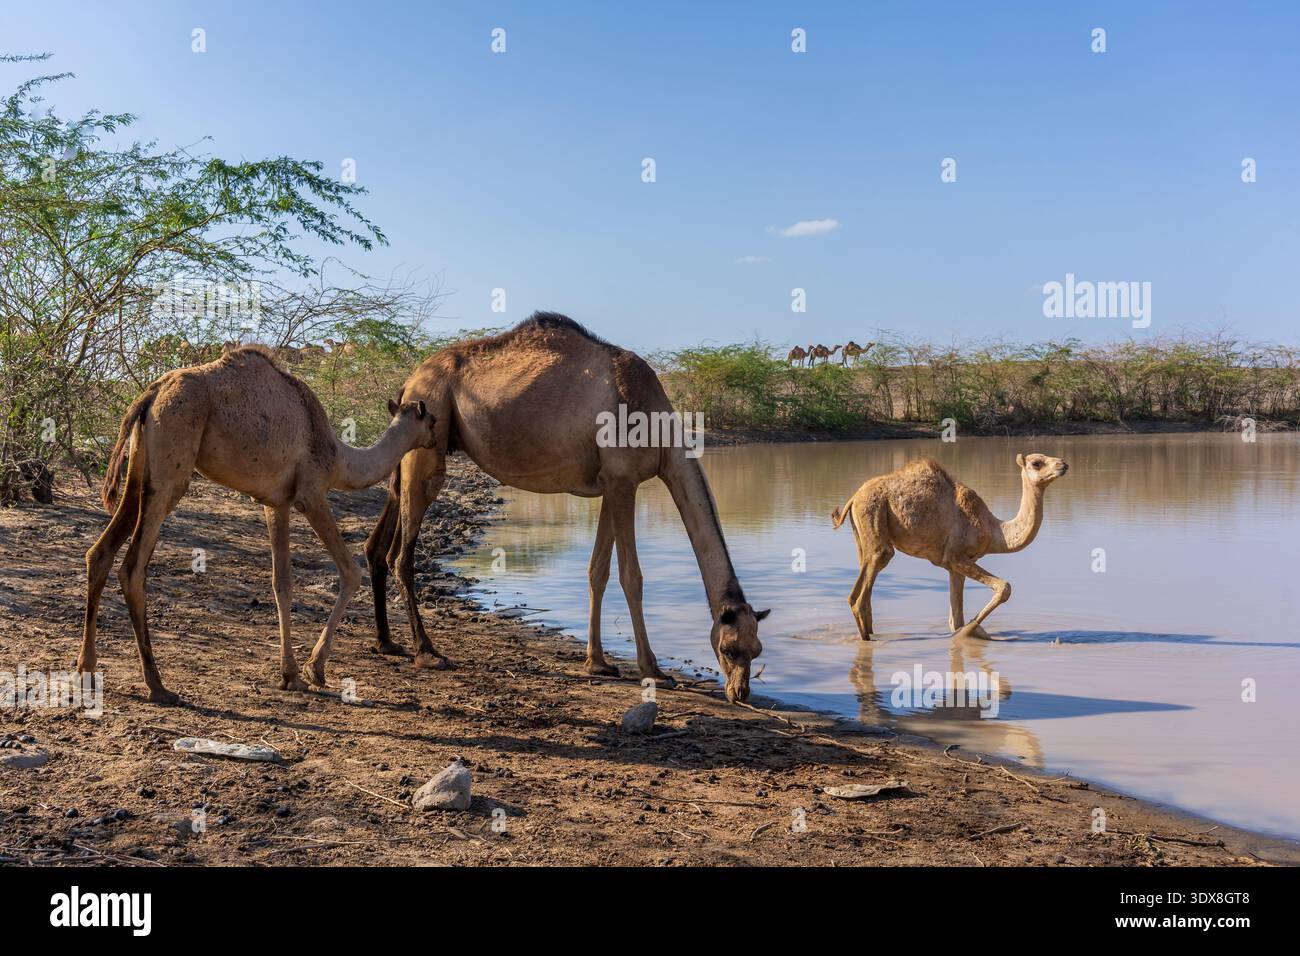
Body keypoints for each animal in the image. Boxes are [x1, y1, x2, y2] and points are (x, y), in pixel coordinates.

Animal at [78, 346, 438, 704]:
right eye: (431, 419)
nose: (437, 440)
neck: (340, 459)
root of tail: (150, 395)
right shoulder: (311, 494)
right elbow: (350, 572)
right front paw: (314, 669)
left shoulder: (275, 503)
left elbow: (282, 584)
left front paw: (290, 675)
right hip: (171, 468)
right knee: (133, 568)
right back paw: (157, 685)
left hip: (139, 468)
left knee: (100, 552)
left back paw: (87, 671)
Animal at [364, 312, 769, 702]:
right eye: (730, 649)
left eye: (757, 650)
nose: (740, 692)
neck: (659, 432)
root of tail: (410, 380)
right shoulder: (623, 481)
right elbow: (631, 576)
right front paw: (653, 670)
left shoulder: (613, 483)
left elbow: (597, 572)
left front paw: (597, 663)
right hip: (428, 431)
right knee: (402, 552)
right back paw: (427, 652)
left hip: (409, 444)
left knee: (379, 539)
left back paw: (387, 642)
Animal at [831, 454, 1068, 641]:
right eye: (1037, 463)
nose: (1063, 464)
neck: (994, 530)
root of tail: (854, 497)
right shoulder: (955, 556)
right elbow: (1004, 588)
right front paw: (972, 631)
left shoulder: (957, 566)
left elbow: (956, 619)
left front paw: (965, 634)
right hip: (874, 517)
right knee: (862, 591)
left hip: (862, 534)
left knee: (865, 589)